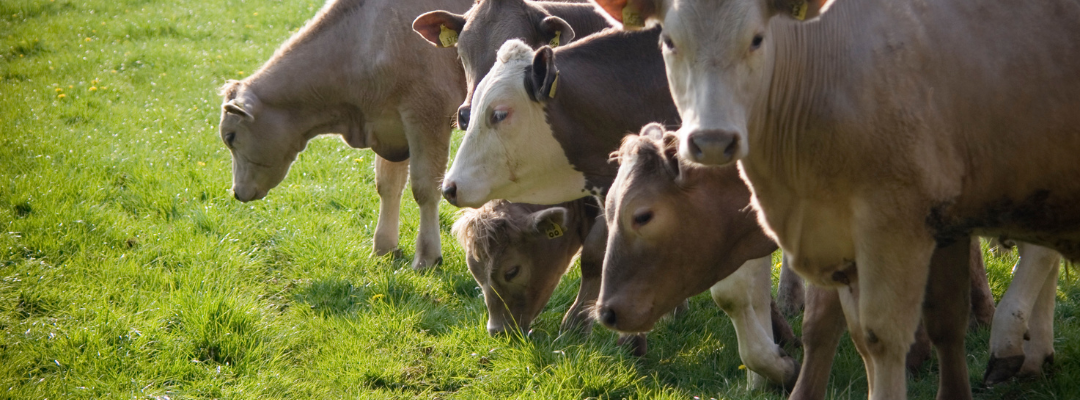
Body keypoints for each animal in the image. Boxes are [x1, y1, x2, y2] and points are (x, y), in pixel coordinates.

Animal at [217, 0, 471, 270]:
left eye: (230, 137)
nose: (236, 192)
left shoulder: (427, 115)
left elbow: (425, 188)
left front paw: (427, 257)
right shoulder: (390, 127)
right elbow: (387, 186)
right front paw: (383, 249)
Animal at [589, 0, 1080, 398]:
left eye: (643, 216)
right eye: (606, 211)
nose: (606, 312)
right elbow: (818, 321)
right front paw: (777, 374)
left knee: (1039, 256)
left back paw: (1013, 342)